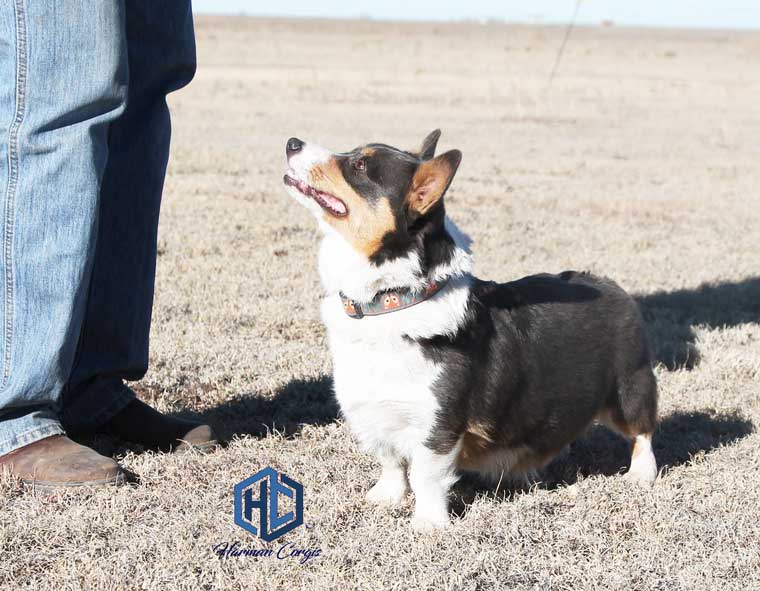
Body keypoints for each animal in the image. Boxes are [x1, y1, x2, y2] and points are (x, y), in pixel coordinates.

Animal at [282, 133, 656, 532]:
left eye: (360, 166)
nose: (292, 142)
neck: (393, 300)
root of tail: (610, 284)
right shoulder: (372, 412)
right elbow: (390, 461)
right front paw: (385, 497)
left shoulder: (438, 426)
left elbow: (425, 476)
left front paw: (428, 524)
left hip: (630, 388)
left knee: (642, 431)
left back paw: (641, 474)